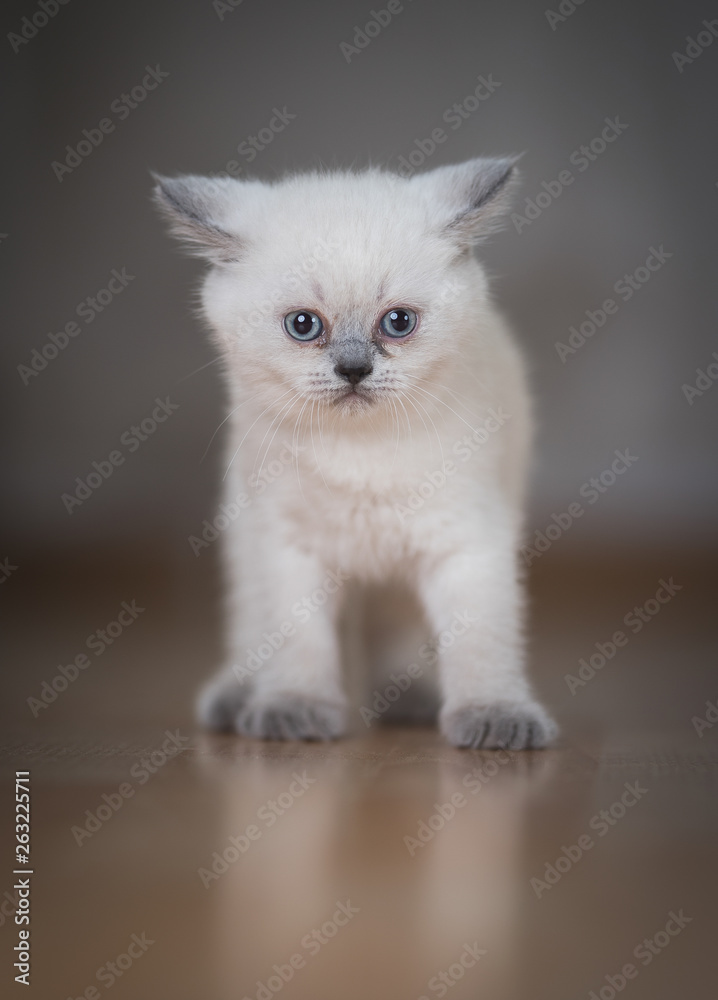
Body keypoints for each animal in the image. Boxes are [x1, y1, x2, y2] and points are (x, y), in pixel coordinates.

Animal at [155, 158, 560, 752]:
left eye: (398, 322)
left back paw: (411, 702)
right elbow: (299, 640)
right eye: (303, 325)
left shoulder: (465, 540)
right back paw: (239, 698)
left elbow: (480, 640)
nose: (353, 370)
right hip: (245, 534)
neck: (361, 455)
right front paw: (293, 709)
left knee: (397, 629)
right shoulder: (289, 547)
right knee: (252, 626)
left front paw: (494, 716)